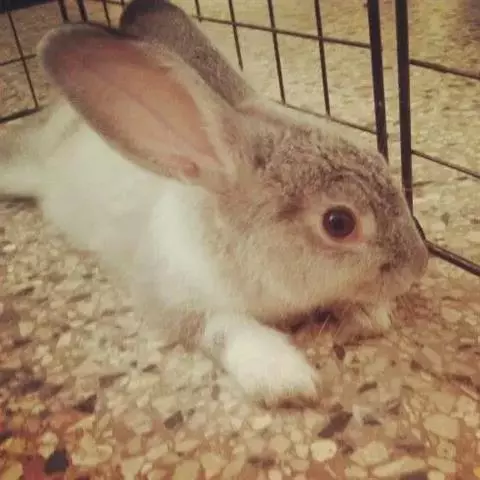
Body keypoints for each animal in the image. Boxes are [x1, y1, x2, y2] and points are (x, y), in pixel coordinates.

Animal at [0, 0, 429, 407]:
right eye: (339, 223)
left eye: (380, 159)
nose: (418, 266)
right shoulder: (174, 298)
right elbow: (225, 328)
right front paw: (283, 376)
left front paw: (369, 314)